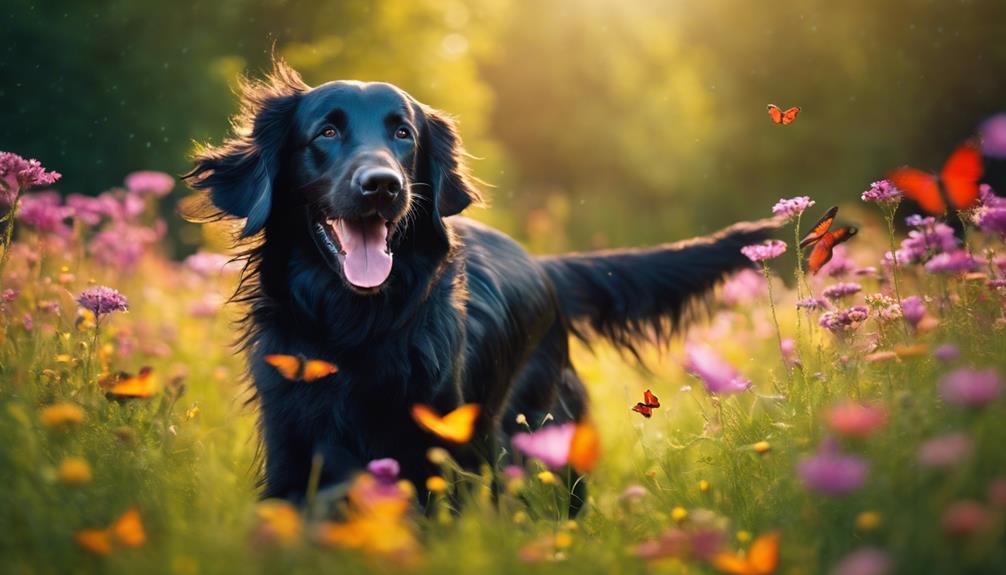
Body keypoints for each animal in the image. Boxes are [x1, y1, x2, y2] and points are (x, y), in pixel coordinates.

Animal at [183, 60, 776, 502]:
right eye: (326, 132)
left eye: (403, 133)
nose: (383, 186)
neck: (355, 328)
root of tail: (544, 266)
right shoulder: (292, 456)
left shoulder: (445, 456)